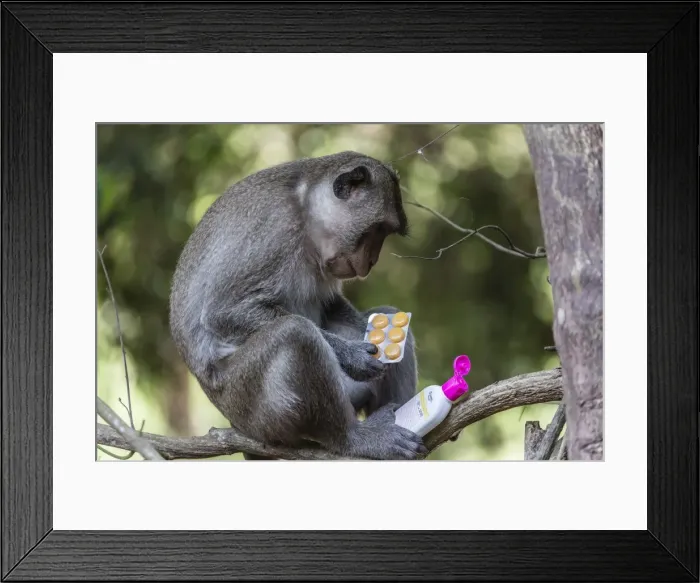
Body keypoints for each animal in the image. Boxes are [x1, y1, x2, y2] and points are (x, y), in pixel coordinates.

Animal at [168, 150, 427, 460]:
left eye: (385, 232)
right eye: (375, 230)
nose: (373, 260)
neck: (305, 212)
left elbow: (329, 304)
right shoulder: (273, 229)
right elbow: (223, 312)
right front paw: (351, 355)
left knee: (386, 315)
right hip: (255, 408)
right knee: (296, 332)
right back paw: (354, 438)